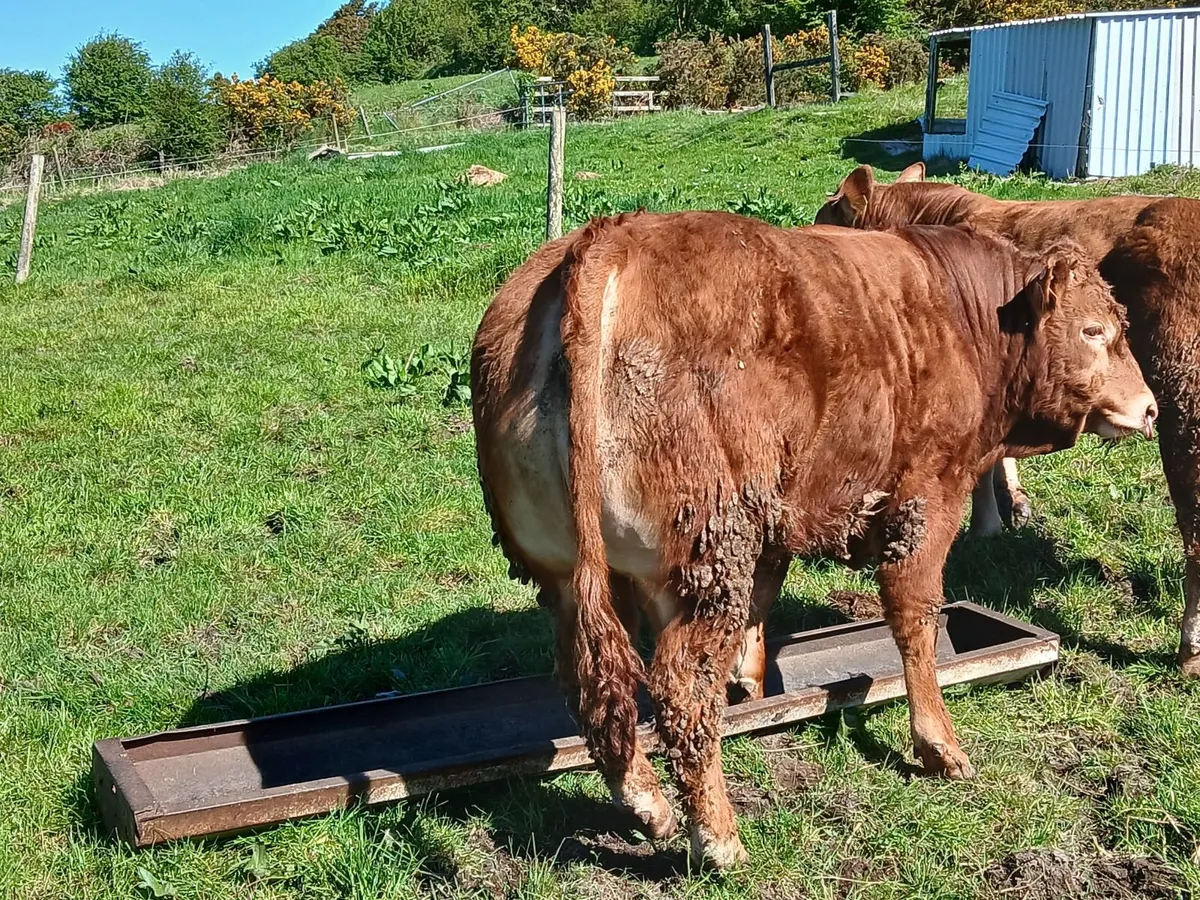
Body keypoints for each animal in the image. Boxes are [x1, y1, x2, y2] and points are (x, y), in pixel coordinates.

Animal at [470, 209, 1155, 869]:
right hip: (705, 553)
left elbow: (760, 611)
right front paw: (939, 746)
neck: (965, 319)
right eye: (1094, 330)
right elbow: (915, 617)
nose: (1148, 407)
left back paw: (650, 805)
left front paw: (751, 689)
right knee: (680, 688)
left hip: (567, 571)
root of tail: (609, 237)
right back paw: (718, 838)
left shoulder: (774, 525)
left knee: (594, 678)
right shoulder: (928, 497)